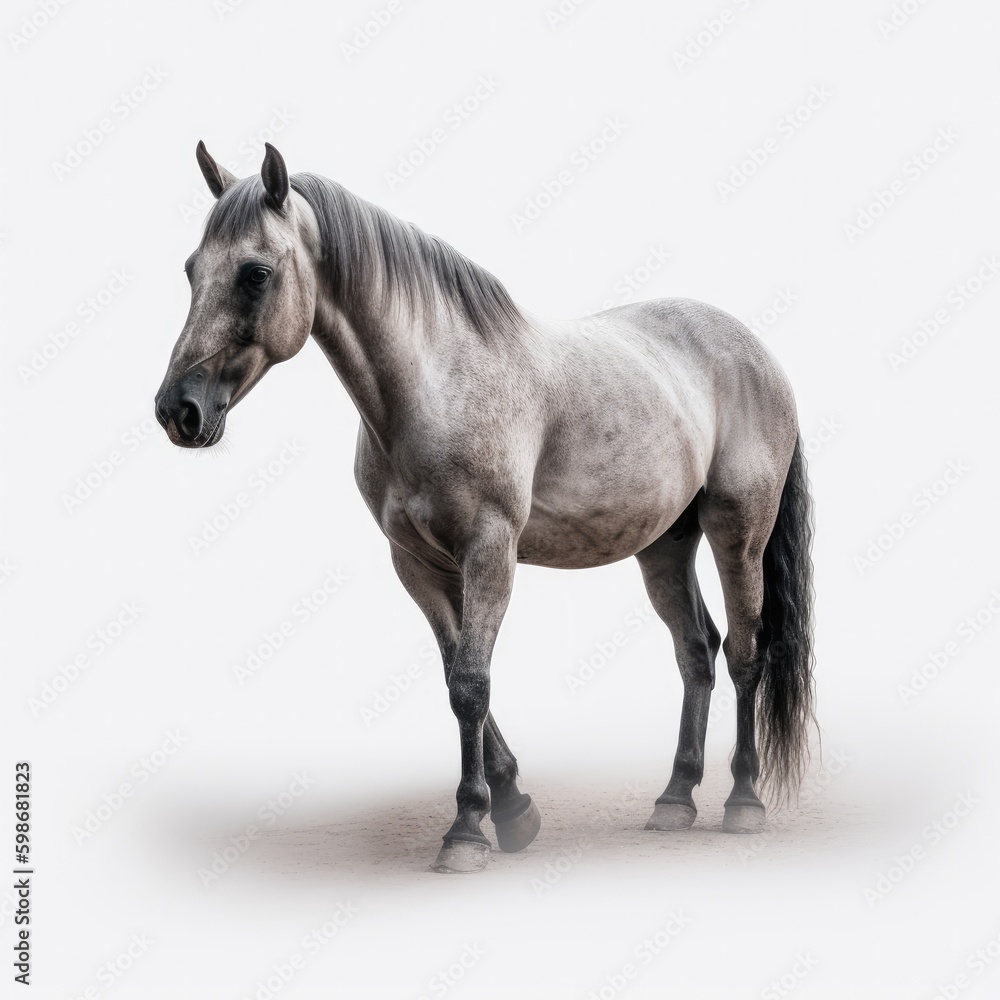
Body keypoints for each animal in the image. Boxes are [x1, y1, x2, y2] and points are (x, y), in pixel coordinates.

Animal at [154, 142, 816, 874]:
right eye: (192, 269)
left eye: (254, 273)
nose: (178, 411)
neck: (434, 385)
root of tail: (757, 353)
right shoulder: (418, 564)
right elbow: (456, 677)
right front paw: (514, 810)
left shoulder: (489, 552)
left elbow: (472, 683)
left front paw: (468, 831)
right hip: (665, 545)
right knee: (697, 652)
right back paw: (674, 799)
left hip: (739, 533)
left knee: (746, 654)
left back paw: (743, 802)